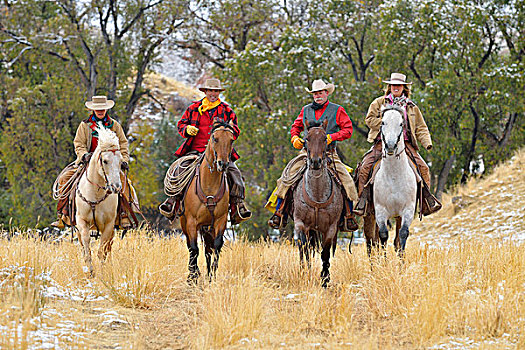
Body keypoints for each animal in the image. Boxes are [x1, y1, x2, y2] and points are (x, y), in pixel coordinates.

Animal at [74, 124, 122, 274]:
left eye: (121, 162)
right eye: (105, 161)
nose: (116, 187)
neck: (95, 194)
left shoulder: (109, 225)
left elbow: (102, 251)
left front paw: (102, 272)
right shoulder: (81, 221)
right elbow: (86, 245)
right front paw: (90, 271)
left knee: (109, 248)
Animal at [179, 119, 234, 284]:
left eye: (231, 140)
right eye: (215, 138)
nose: (223, 164)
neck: (209, 184)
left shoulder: (220, 220)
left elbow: (216, 246)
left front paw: (212, 276)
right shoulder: (191, 222)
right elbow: (193, 248)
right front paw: (193, 276)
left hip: (208, 227)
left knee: (209, 249)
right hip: (186, 223)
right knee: (191, 246)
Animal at [290, 120, 344, 288]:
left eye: (324, 139)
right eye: (307, 138)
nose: (315, 162)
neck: (317, 194)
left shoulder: (330, 228)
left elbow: (325, 253)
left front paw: (325, 279)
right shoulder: (300, 224)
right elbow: (304, 248)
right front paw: (304, 272)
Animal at [362, 105, 416, 256]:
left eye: (401, 123)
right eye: (382, 122)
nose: (391, 146)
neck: (394, 177)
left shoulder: (408, 210)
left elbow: (402, 235)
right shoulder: (380, 211)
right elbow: (383, 237)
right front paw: (384, 262)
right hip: (369, 216)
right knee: (371, 242)